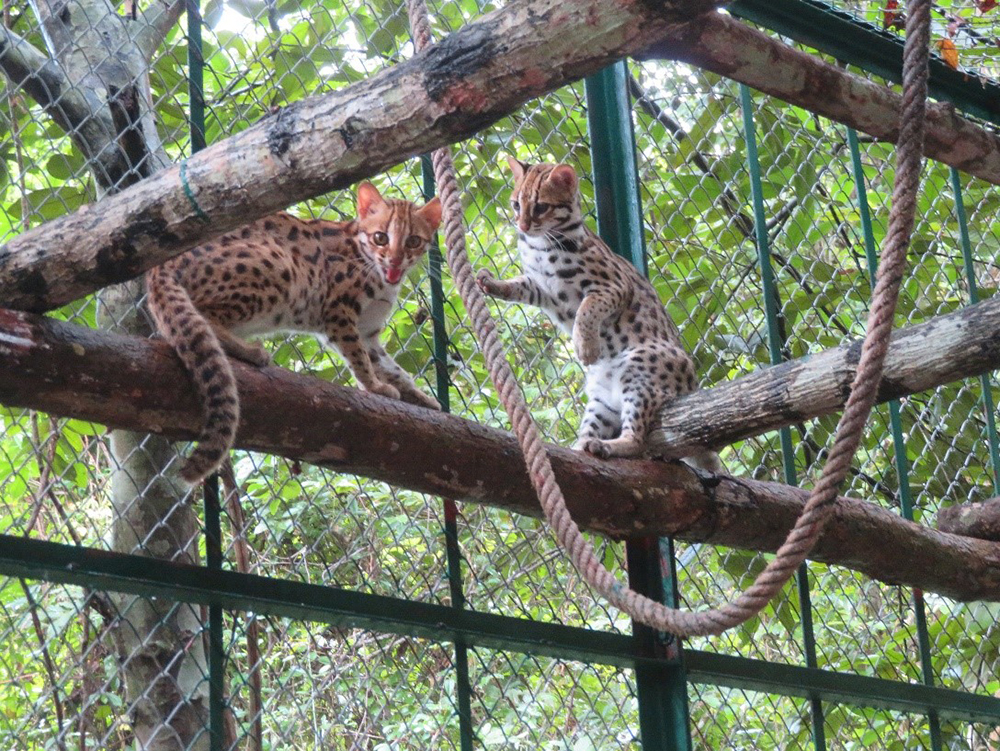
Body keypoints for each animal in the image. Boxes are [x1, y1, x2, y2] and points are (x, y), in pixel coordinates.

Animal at [146, 185, 442, 484]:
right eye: (380, 237)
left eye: (413, 241)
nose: (395, 259)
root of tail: (158, 268)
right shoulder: (339, 313)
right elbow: (358, 358)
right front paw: (374, 387)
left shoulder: (367, 332)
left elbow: (393, 369)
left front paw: (422, 399)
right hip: (277, 267)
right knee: (204, 315)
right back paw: (251, 351)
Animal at [476, 158, 720, 470]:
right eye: (516, 204)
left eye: (541, 207)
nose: (522, 226)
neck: (540, 246)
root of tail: (691, 384)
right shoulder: (539, 287)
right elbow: (517, 286)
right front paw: (491, 282)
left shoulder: (613, 286)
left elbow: (587, 309)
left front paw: (586, 346)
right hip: (601, 399)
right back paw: (582, 446)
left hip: (641, 368)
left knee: (637, 440)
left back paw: (608, 445)